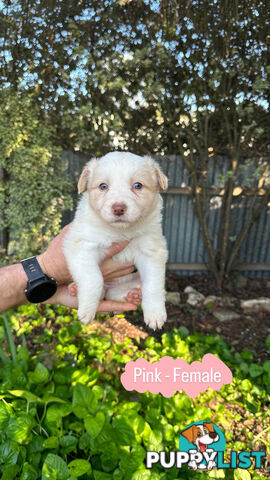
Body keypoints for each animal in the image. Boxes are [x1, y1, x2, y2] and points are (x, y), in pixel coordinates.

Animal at [63, 151, 169, 330]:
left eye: (138, 185)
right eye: (103, 186)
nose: (118, 208)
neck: (120, 231)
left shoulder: (151, 251)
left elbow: (153, 284)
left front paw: (155, 314)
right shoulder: (82, 244)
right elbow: (93, 278)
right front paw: (87, 310)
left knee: (119, 293)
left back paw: (133, 295)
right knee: (102, 292)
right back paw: (74, 289)